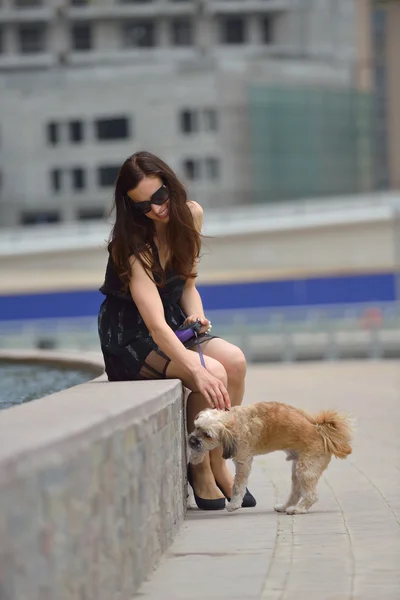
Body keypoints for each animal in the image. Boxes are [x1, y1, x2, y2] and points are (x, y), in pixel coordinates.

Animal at [188, 400, 354, 512]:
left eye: (207, 435)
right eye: (196, 427)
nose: (192, 441)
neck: (235, 421)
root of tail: (321, 431)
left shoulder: (243, 462)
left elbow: (237, 486)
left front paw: (234, 504)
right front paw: (195, 457)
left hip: (306, 469)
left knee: (311, 495)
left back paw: (298, 509)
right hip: (297, 471)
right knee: (296, 492)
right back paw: (285, 506)